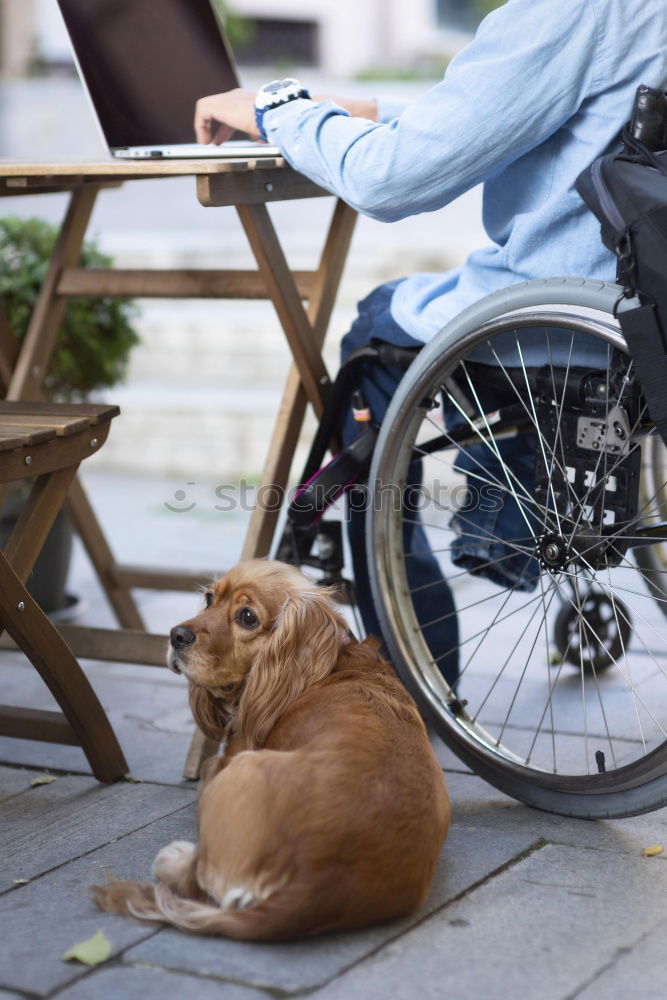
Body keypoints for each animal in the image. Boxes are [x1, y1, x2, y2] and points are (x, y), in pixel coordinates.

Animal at [92, 564, 448, 936]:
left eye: (247, 617)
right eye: (210, 598)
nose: (177, 635)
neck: (326, 665)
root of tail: (314, 884)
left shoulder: (227, 759)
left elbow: (207, 766)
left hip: (244, 769)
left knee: (199, 876)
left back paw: (173, 859)